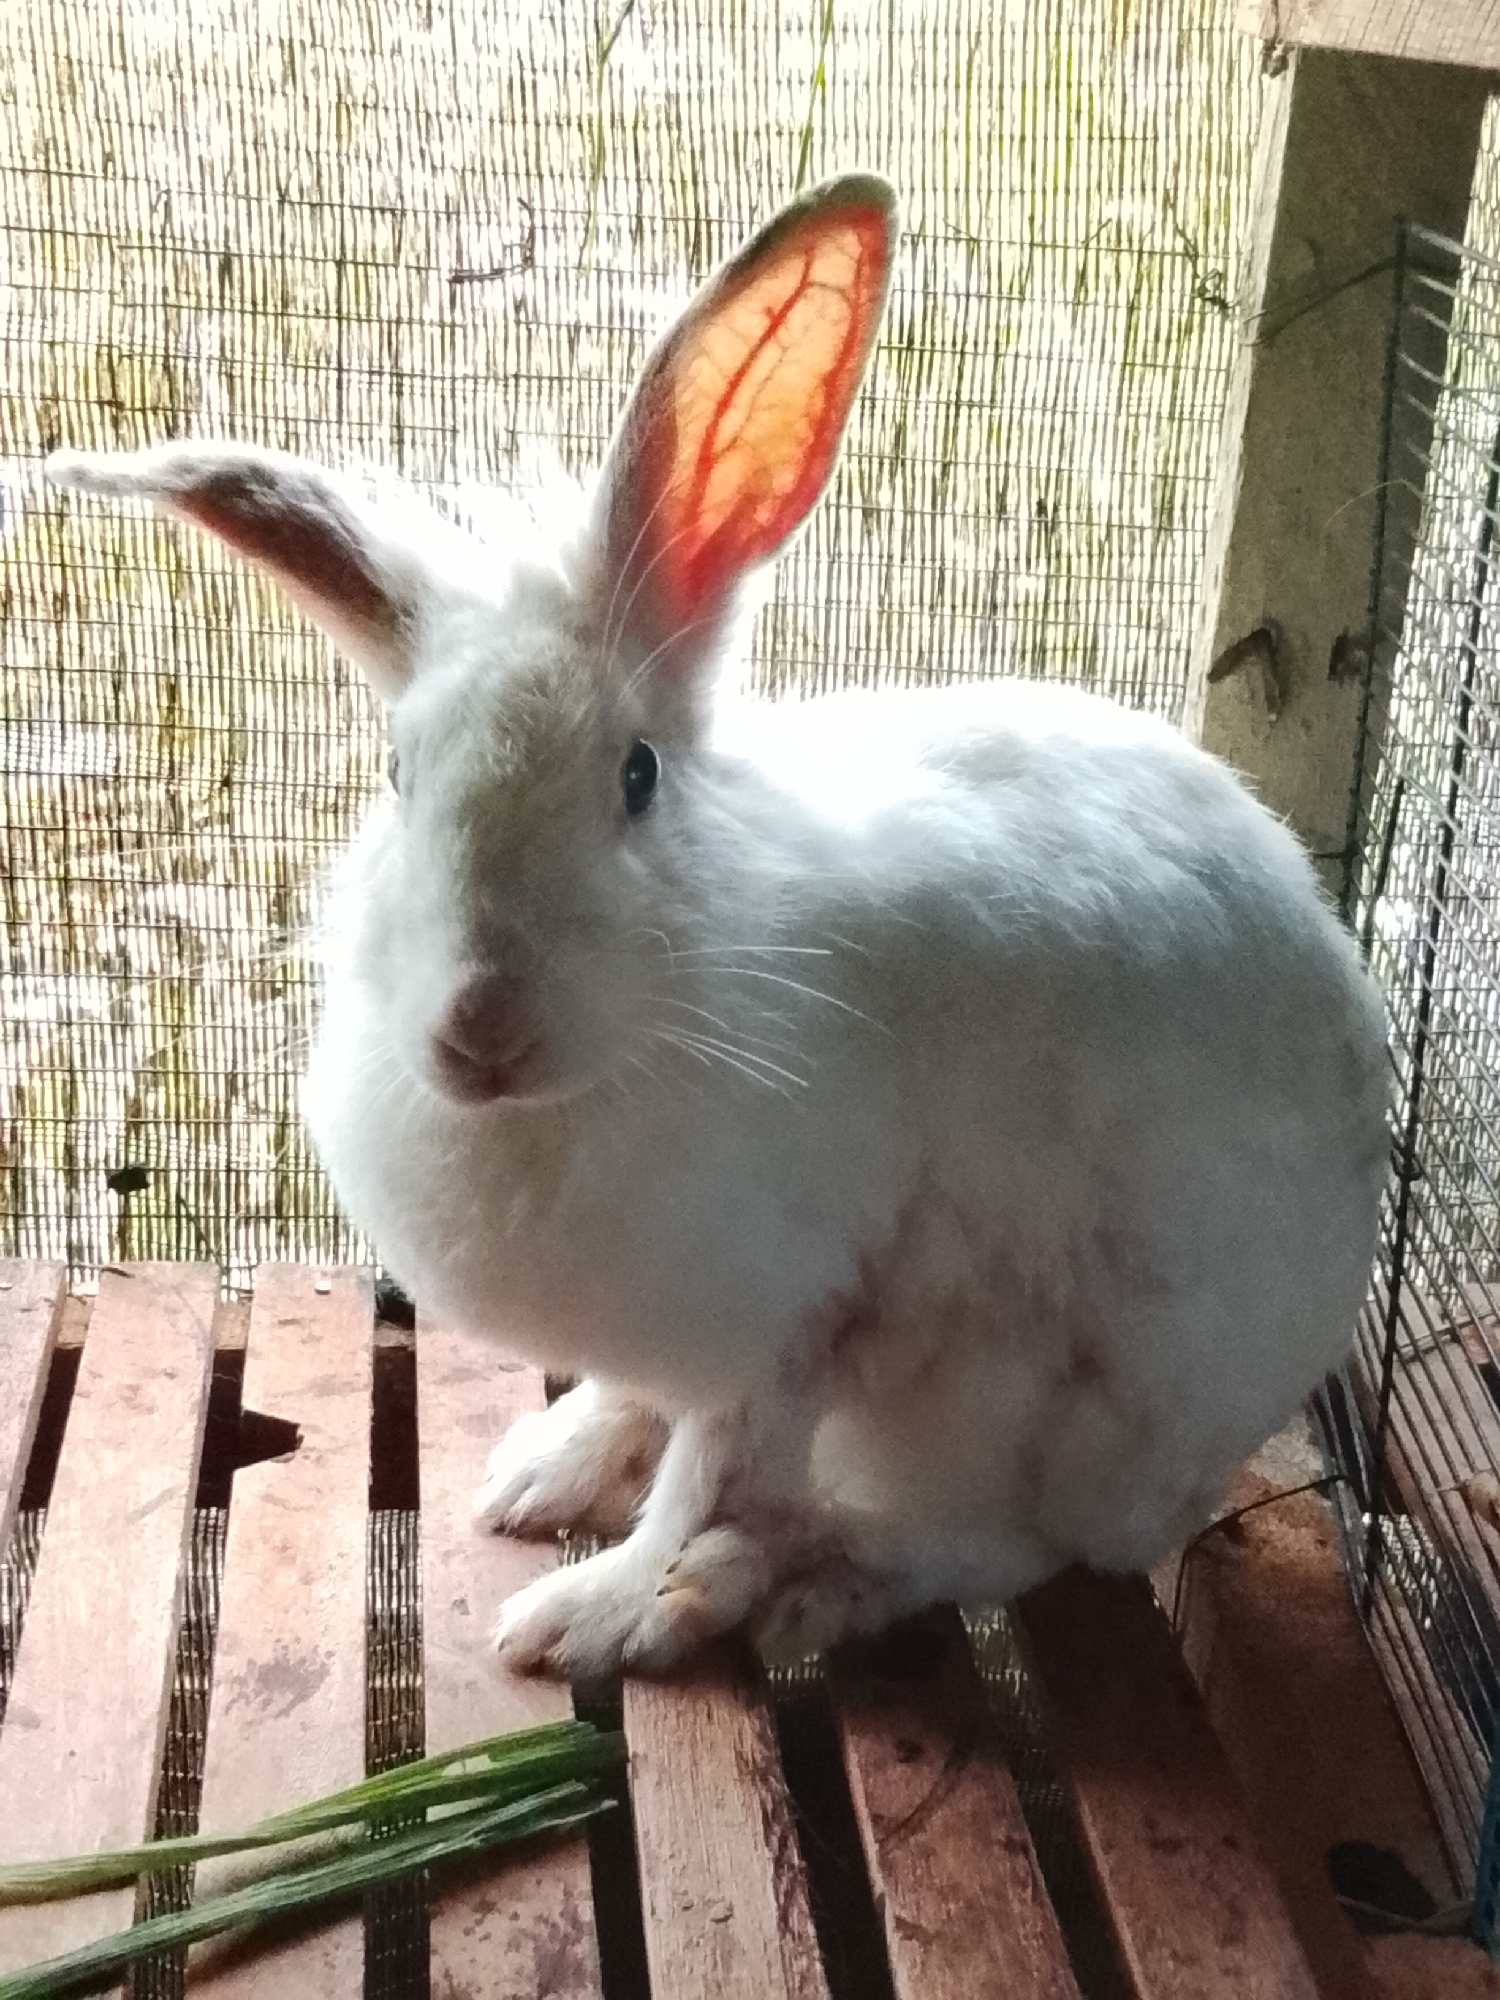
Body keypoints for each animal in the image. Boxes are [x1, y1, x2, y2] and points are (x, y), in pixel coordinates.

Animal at [46, 172, 1389, 1682]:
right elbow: (646, 1411)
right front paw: (548, 1473)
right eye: (396, 773)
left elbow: (705, 1481)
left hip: (1050, 1404)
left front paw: (597, 1612)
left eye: (637, 777)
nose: (479, 1024)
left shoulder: (795, 1323)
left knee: (1006, 1543)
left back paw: (800, 1586)